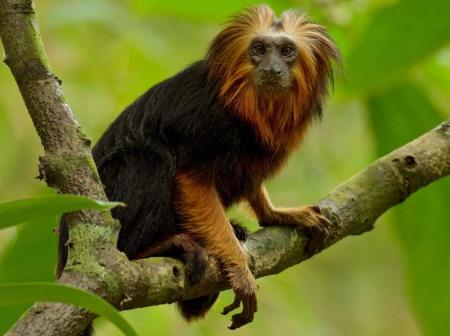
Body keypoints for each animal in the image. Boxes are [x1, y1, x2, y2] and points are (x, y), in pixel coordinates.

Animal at [57, 4, 338, 330]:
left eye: (286, 51)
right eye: (259, 49)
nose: (271, 68)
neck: (249, 105)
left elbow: (250, 179)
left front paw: (276, 214)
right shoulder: (206, 120)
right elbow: (191, 180)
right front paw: (239, 268)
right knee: (149, 160)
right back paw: (160, 247)